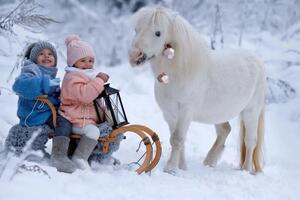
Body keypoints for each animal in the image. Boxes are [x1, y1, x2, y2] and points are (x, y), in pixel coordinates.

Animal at [129, 6, 264, 173]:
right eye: (136, 29)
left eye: (158, 33)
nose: (134, 56)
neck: (179, 72)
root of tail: (258, 60)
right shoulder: (170, 113)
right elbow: (176, 139)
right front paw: (182, 167)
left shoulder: (186, 111)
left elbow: (177, 139)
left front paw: (171, 168)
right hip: (218, 113)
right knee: (225, 130)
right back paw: (209, 161)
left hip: (251, 112)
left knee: (250, 141)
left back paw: (245, 170)